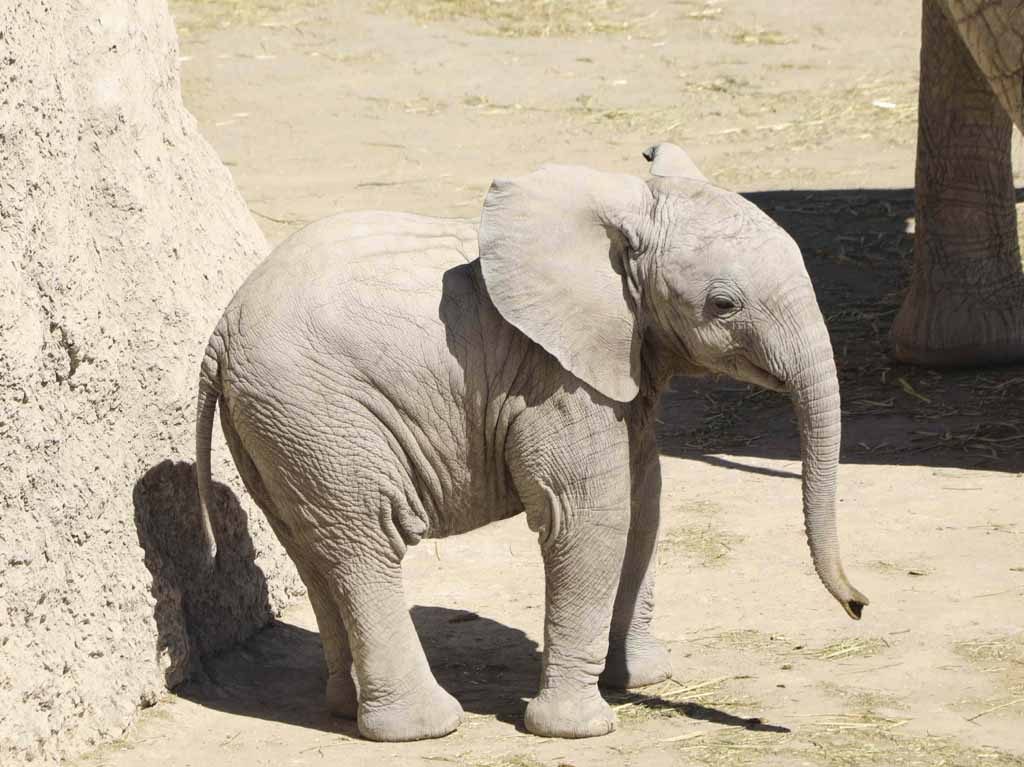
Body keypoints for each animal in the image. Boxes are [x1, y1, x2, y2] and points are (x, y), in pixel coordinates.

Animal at [192, 145, 864, 741]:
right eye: (723, 305)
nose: (858, 606)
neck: (622, 211)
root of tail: (219, 336)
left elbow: (644, 503)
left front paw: (640, 679)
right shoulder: (552, 378)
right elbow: (590, 516)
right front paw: (579, 729)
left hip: (278, 429)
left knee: (314, 551)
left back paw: (343, 708)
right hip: (317, 414)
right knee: (368, 542)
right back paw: (425, 728)